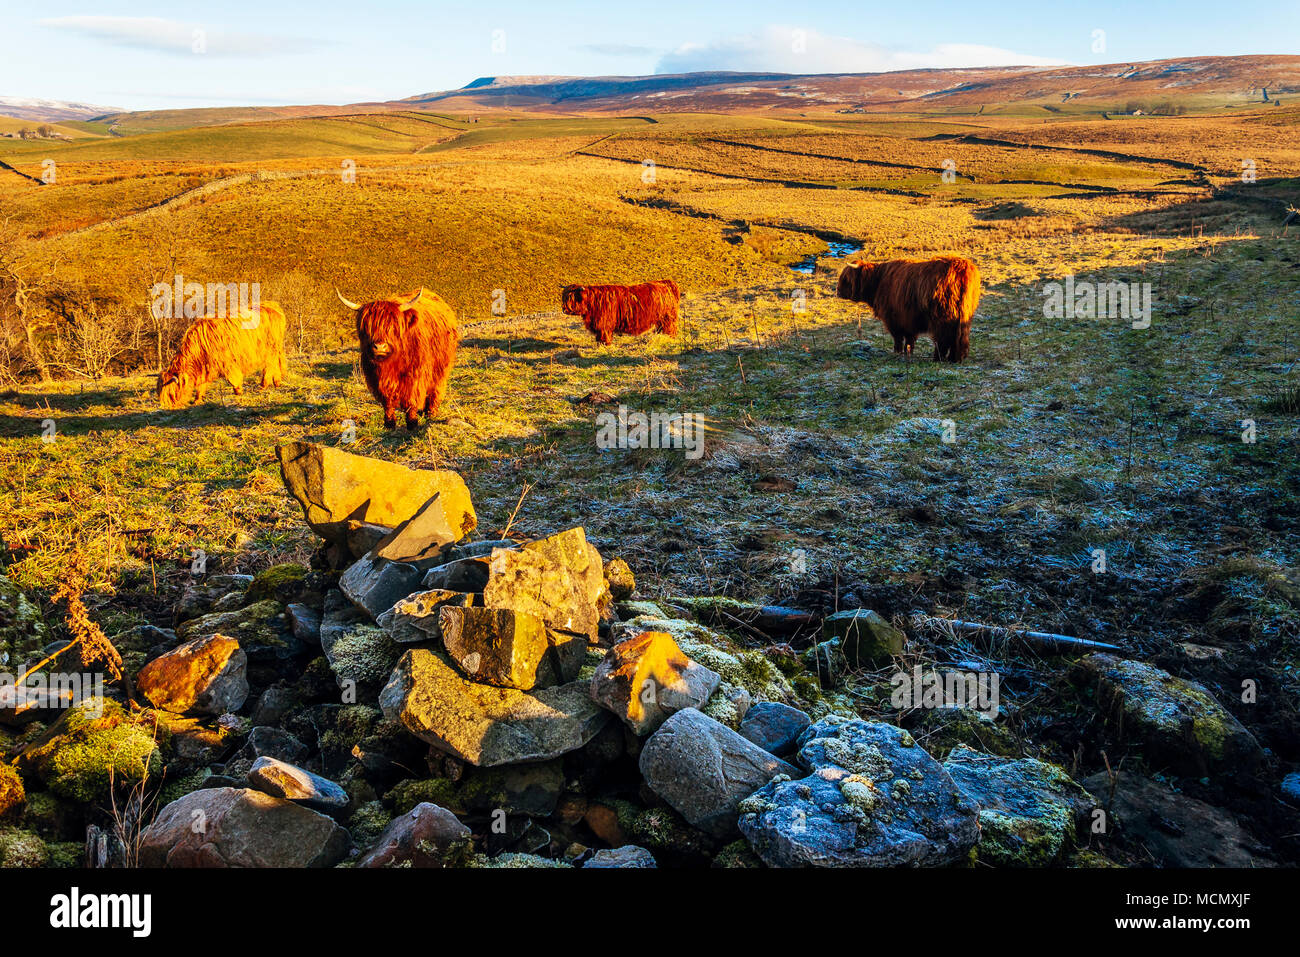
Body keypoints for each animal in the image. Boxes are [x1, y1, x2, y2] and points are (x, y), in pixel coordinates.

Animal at [156, 302, 288, 408]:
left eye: (171, 394)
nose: (168, 407)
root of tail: (272, 306)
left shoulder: (228, 363)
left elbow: (233, 379)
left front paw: (238, 391)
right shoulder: (205, 368)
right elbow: (201, 386)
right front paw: (197, 400)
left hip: (269, 349)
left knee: (269, 365)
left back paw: (263, 385)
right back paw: (276, 382)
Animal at [340, 283, 462, 429]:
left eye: (392, 327)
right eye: (368, 328)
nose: (380, 346)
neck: (390, 365)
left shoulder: (415, 376)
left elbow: (411, 400)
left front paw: (412, 422)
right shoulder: (377, 379)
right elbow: (387, 402)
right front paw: (389, 423)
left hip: (440, 369)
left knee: (435, 390)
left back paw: (431, 413)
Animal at [837, 256, 977, 361]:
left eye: (846, 279)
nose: (837, 291)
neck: (878, 281)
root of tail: (961, 268)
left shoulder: (893, 318)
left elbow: (898, 337)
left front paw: (897, 352)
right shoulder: (909, 318)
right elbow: (910, 338)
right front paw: (907, 352)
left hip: (942, 317)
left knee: (943, 338)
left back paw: (938, 358)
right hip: (964, 315)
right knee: (959, 337)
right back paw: (955, 358)